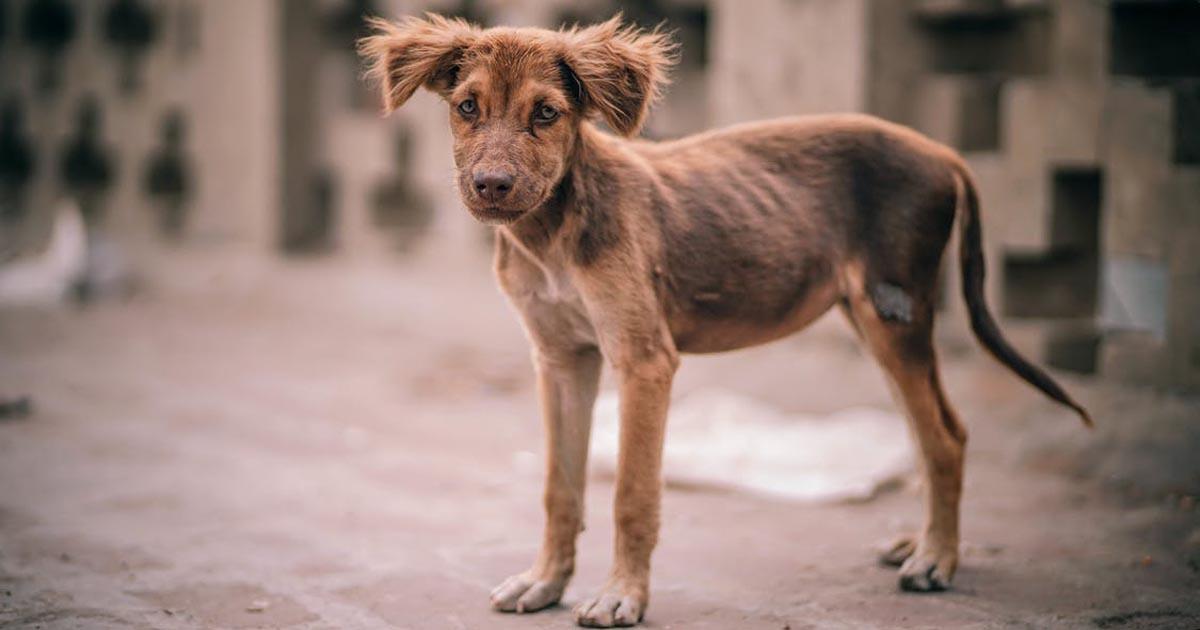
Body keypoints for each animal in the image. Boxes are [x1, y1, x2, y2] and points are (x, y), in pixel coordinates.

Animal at [357, 13, 1099, 624]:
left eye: (546, 114)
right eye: (467, 108)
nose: (491, 187)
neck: (553, 234)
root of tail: (943, 153)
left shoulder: (644, 360)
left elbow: (631, 493)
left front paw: (622, 595)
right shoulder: (561, 360)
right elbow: (558, 488)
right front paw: (545, 582)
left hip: (897, 312)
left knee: (944, 437)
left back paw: (937, 560)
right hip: (873, 319)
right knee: (931, 431)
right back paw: (922, 542)